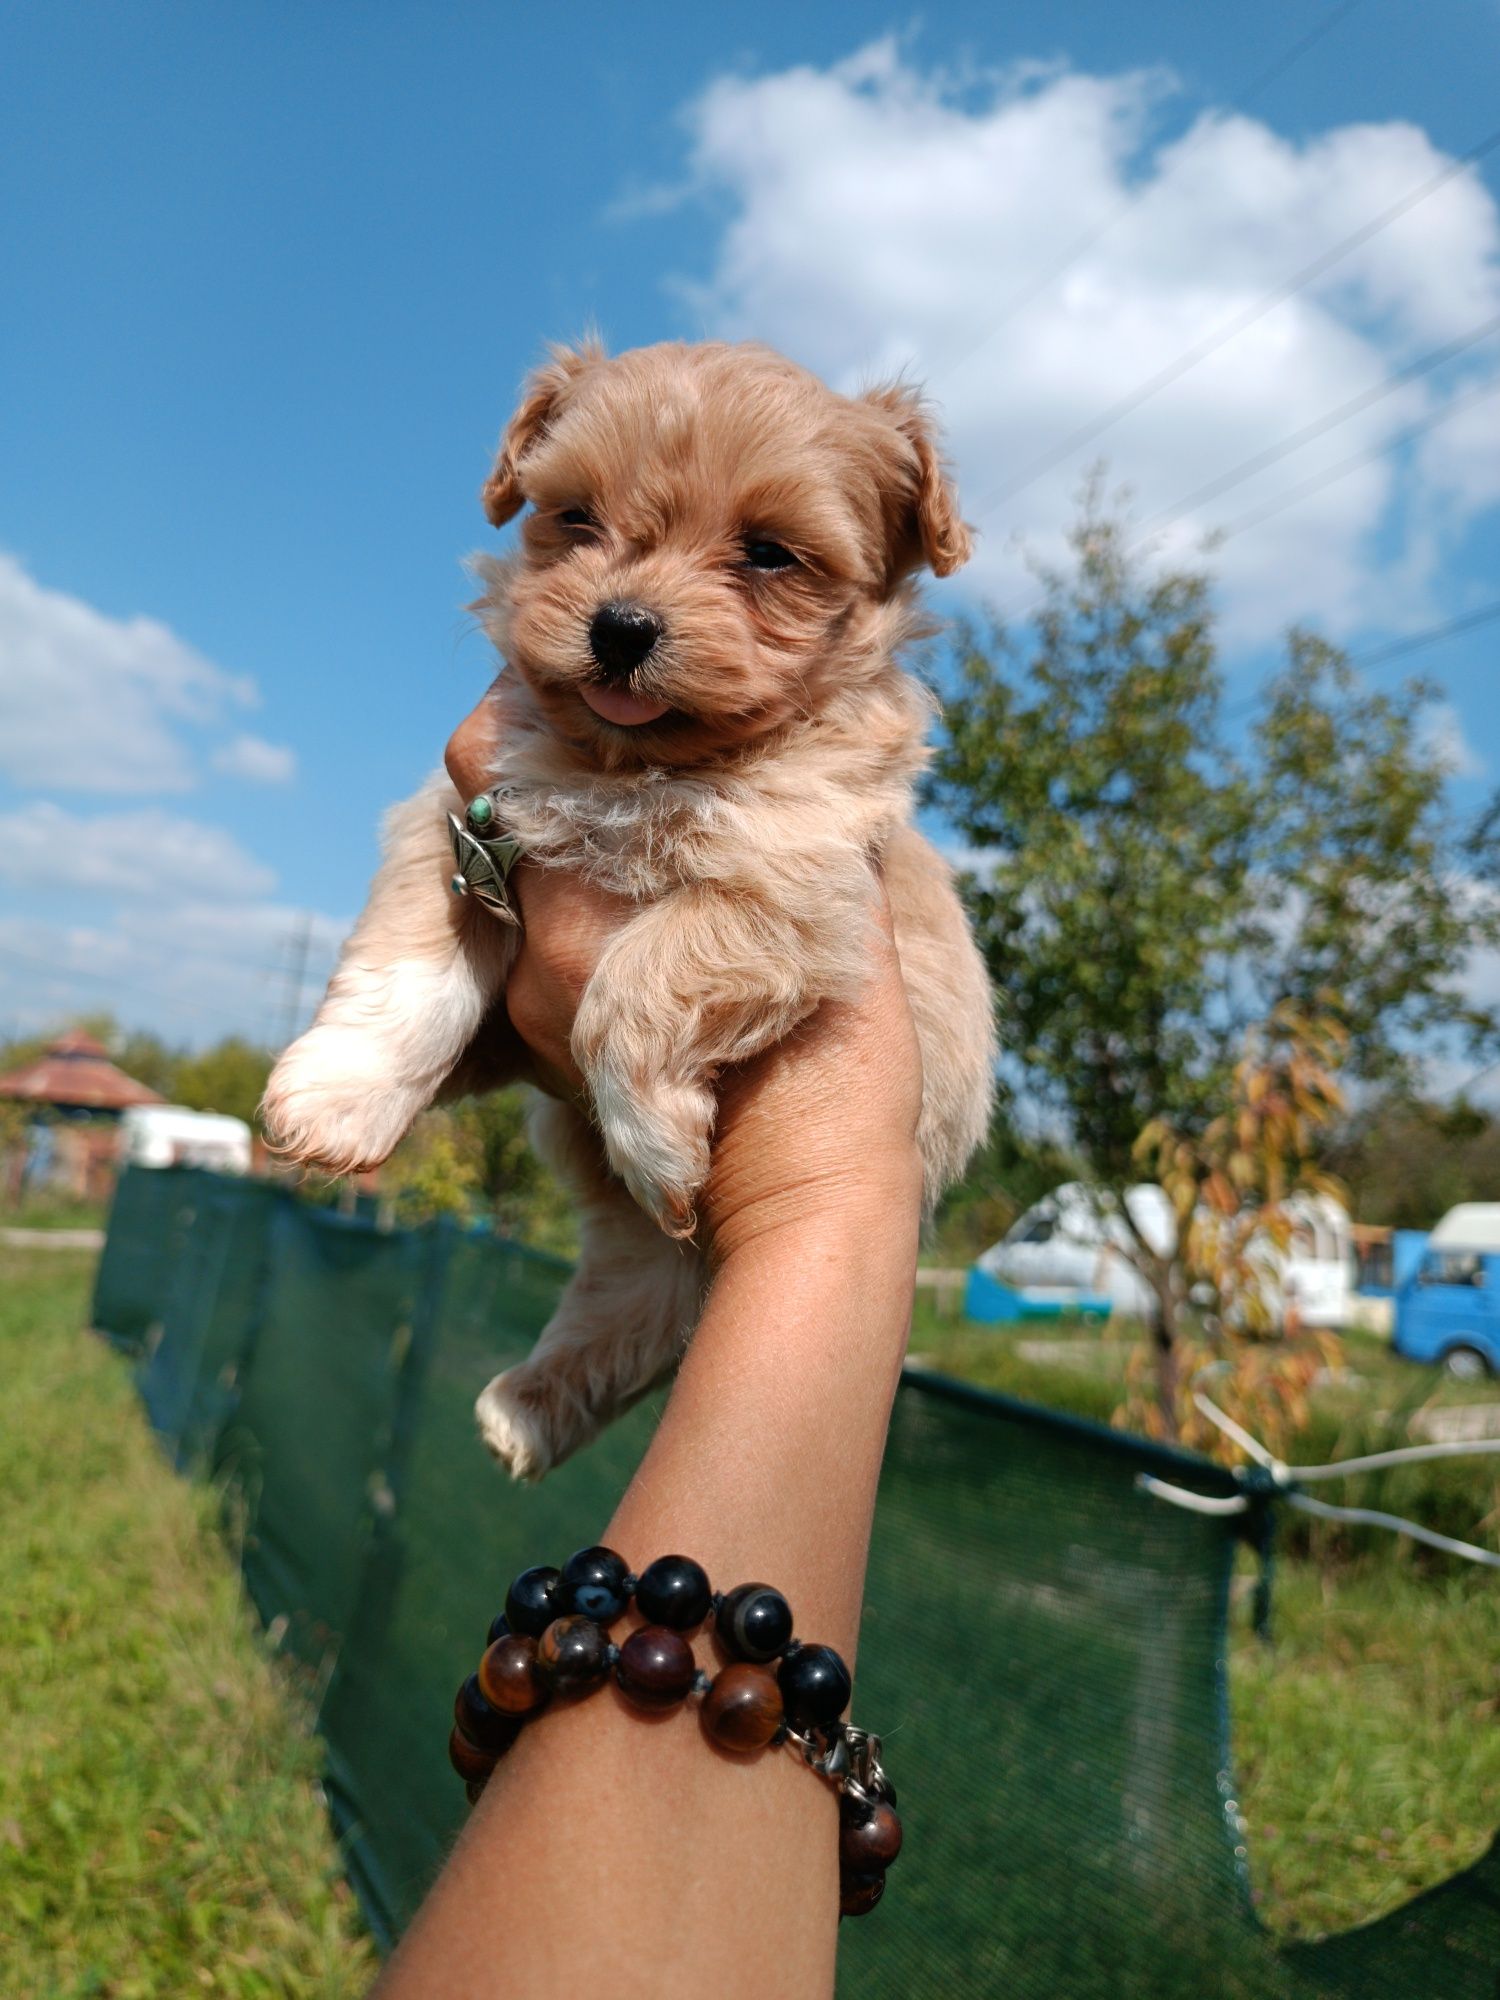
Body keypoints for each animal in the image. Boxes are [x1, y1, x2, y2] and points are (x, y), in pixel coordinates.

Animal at [264, 336, 1000, 1480]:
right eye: (575, 517)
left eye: (770, 554)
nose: (621, 627)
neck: (628, 767)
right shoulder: (460, 816)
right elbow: (410, 964)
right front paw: (342, 1096)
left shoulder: (793, 881)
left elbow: (640, 975)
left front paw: (657, 1135)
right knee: (639, 1308)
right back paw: (524, 1409)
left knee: (652, 1308)